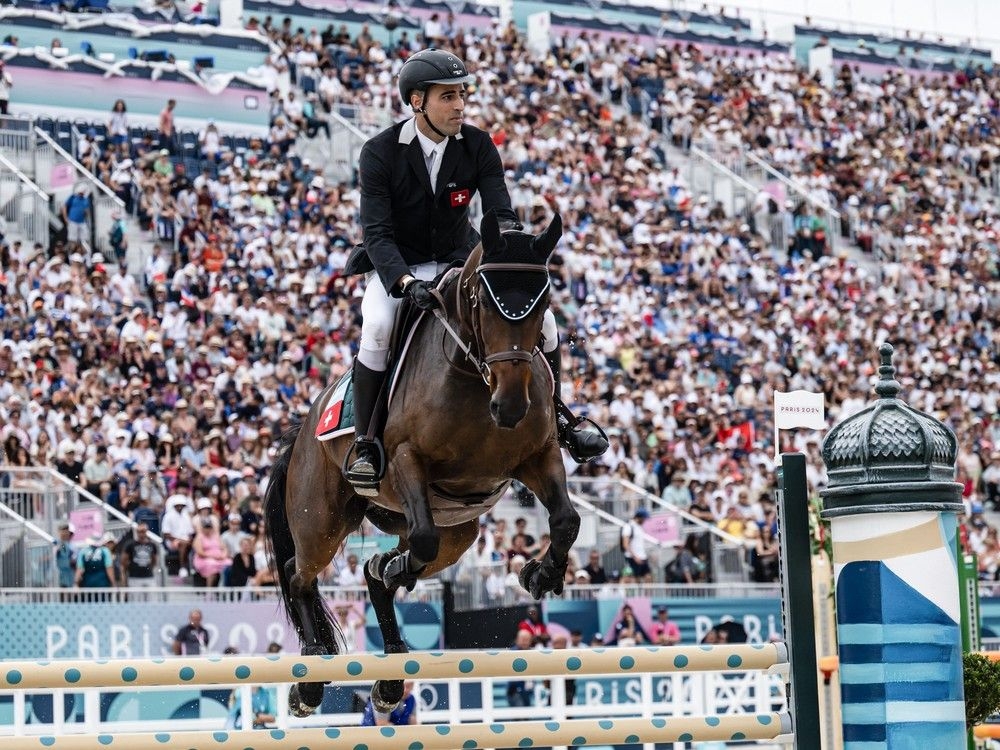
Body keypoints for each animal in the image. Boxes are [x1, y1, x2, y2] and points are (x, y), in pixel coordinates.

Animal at [266, 212, 580, 724]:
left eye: (543, 303)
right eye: (484, 299)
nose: (512, 406)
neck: (474, 377)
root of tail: (303, 429)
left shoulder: (540, 454)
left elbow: (567, 519)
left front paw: (541, 575)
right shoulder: (406, 461)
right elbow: (423, 538)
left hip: (461, 532)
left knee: (384, 567)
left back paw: (391, 672)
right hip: (321, 521)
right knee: (300, 572)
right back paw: (310, 680)